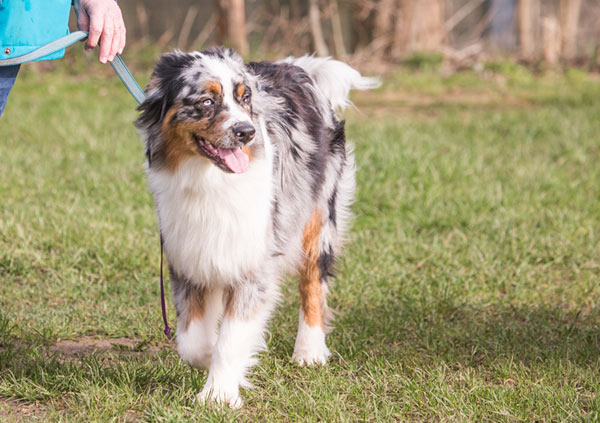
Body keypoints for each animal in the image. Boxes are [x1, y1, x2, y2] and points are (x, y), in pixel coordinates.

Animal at [137, 47, 376, 408]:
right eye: (206, 101)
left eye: (245, 97)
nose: (246, 132)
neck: (209, 179)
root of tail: (295, 67)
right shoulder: (189, 256)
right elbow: (192, 341)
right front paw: (212, 362)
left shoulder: (255, 260)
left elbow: (231, 337)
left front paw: (218, 395)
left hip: (317, 216)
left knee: (313, 282)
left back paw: (309, 350)